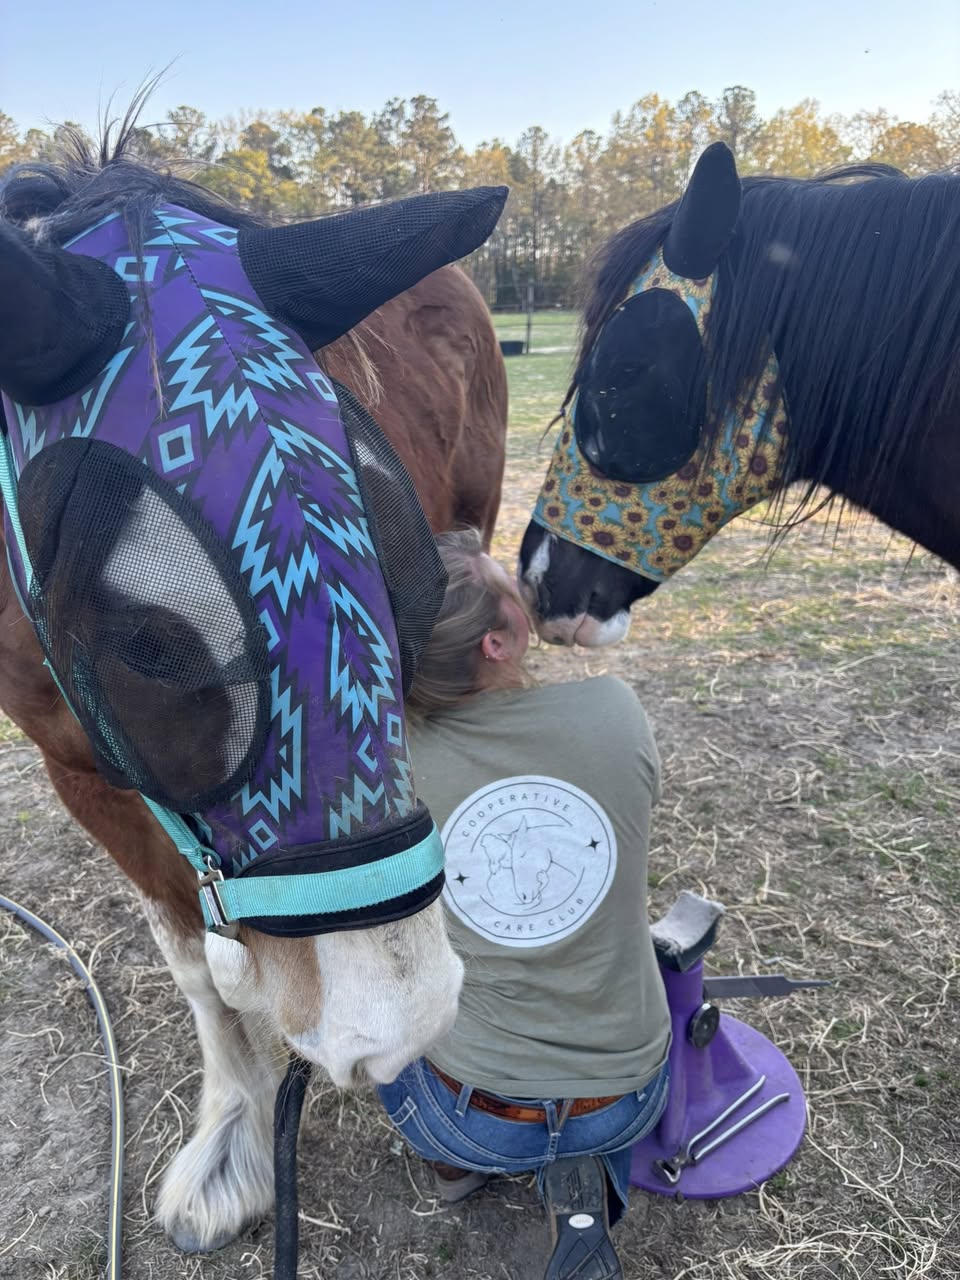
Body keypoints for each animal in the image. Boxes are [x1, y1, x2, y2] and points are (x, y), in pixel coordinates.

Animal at [0, 131, 507, 1254]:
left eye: (401, 570)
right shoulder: (80, 770)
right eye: (148, 647)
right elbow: (195, 960)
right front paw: (236, 1122)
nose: (395, 1025)